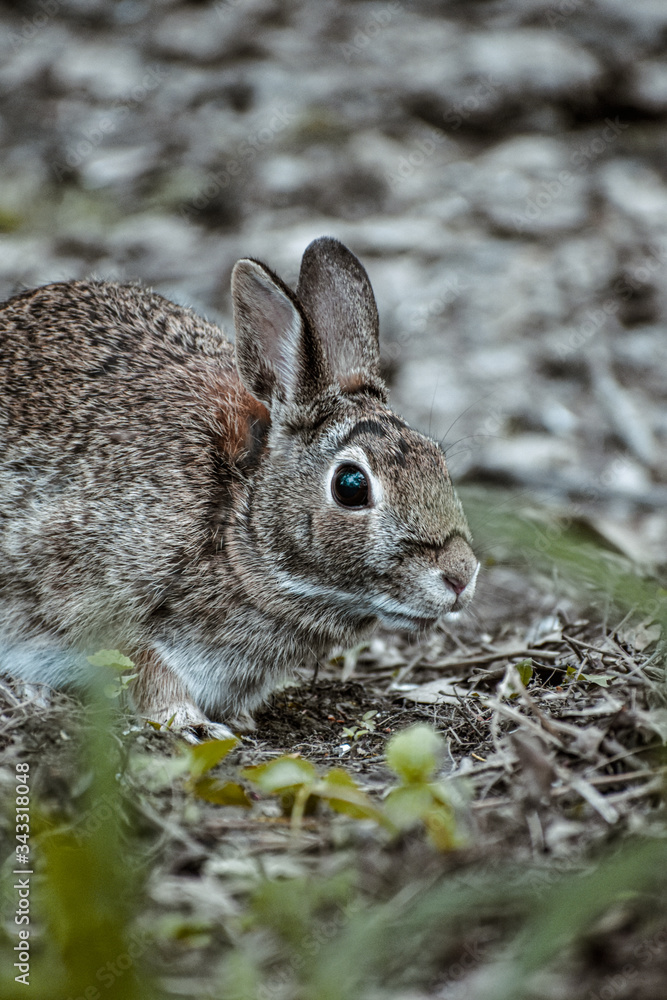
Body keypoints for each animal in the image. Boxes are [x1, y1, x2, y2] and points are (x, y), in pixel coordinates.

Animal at [0, 236, 478, 739]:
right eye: (351, 486)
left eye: (437, 458)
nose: (461, 575)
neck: (238, 518)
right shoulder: (100, 592)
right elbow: (143, 666)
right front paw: (189, 723)